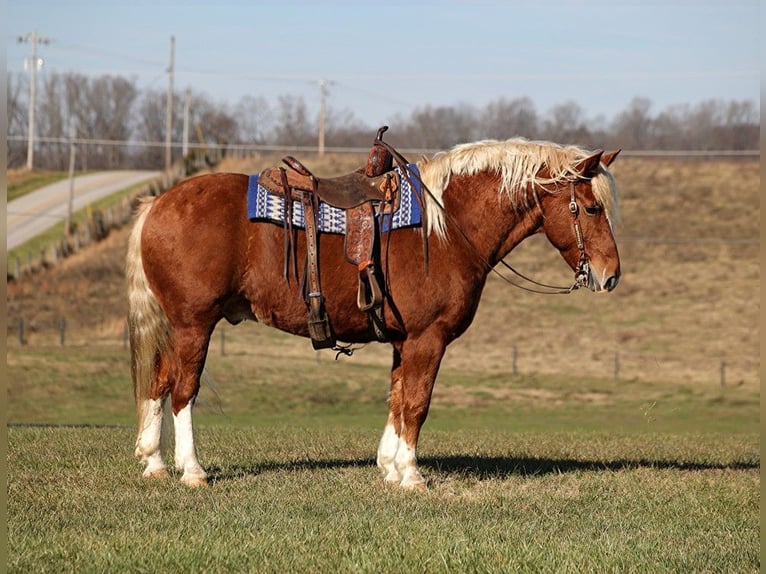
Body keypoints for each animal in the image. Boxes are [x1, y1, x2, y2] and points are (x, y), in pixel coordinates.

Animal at [129, 136, 624, 490]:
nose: (611, 275)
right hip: (194, 324)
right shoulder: (428, 339)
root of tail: (157, 203)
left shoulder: (404, 342)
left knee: (159, 382)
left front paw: (389, 467)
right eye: (592, 208)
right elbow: (417, 404)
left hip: (177, 327)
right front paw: (412, 475)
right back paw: (192, 470)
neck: (446, 227)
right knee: (183, 390)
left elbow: (396, 398)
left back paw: (154, 463)